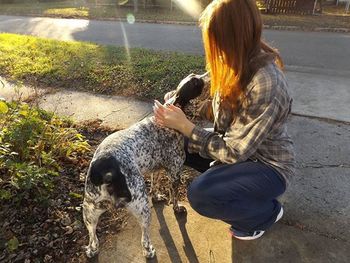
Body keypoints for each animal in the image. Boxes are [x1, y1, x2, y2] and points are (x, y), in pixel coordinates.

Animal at [83, 73, 206, 258]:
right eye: (195, 82)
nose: (203, 77)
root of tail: (105, 169)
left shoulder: (156, 168)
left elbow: (155, 184)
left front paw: (157, 196)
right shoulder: (174, 172)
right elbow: (175, 196)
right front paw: (177, 208)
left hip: (89, 212)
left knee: (93, 237)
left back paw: (92, 250)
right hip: (142, 208)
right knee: (145, 235)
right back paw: (148, 250)